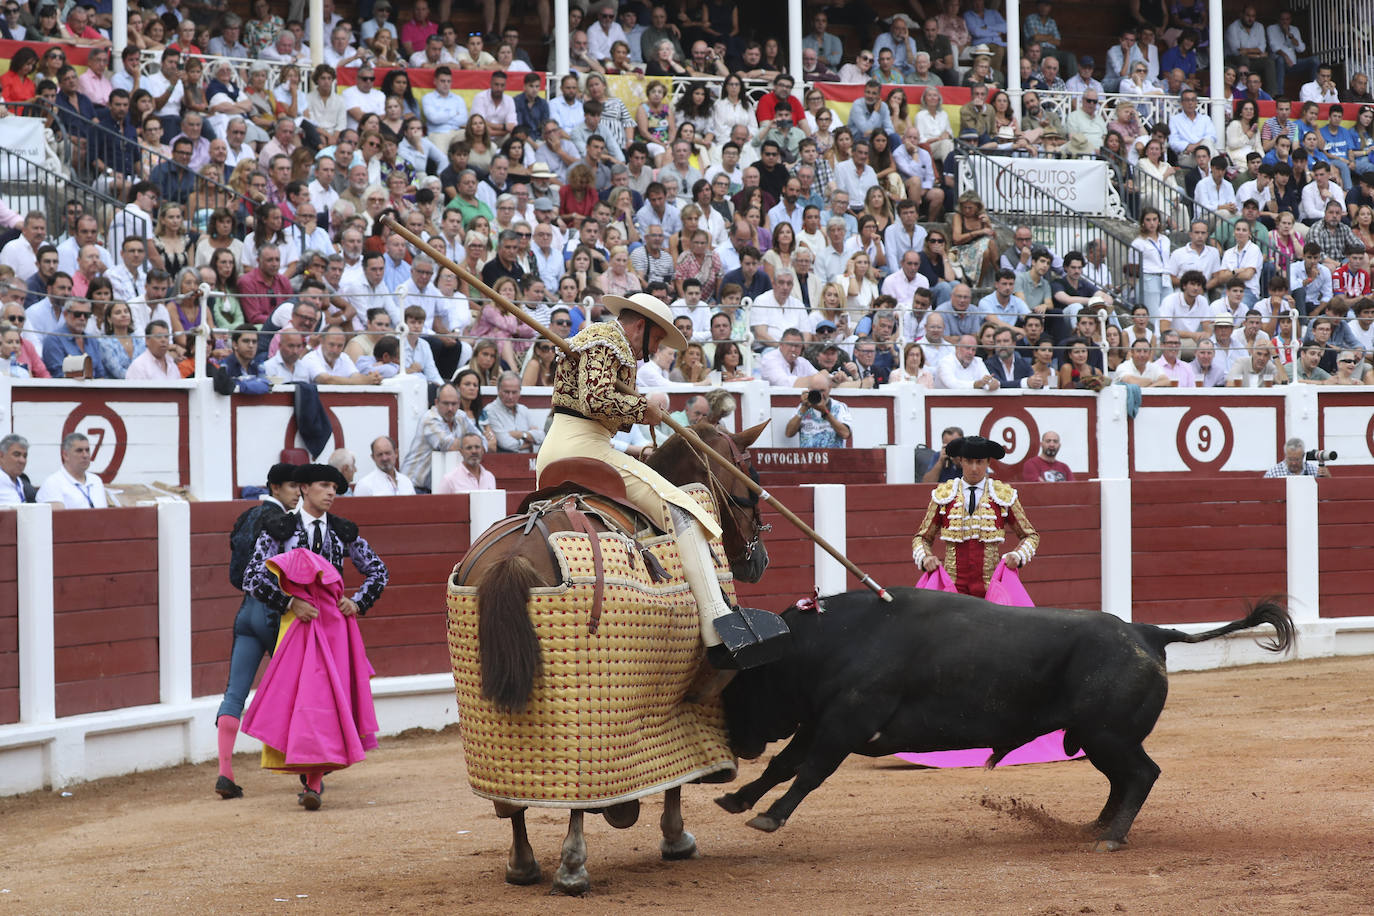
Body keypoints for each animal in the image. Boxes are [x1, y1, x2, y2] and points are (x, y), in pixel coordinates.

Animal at [450, 422, 774, 895]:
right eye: (749, 473)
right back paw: (572, 868)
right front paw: (676, 837)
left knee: (513, 799)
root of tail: (512, 557)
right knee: (578, 795)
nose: (759, 560)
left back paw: (523, 864)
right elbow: (675, 771)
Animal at [714, 590, 1291, 851]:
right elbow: (785, 765)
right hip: (1095, 738)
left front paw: (769, 817)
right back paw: (1097, 826)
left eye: (740, 688)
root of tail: (1148, 633)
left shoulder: (844, 724)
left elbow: (809, 771)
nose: (736, 745)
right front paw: (738, 801)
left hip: (1108, 734)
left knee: (1143, 775)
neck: (837, 641)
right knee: (1123, 779)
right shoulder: (820, 720)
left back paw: (1112, 837)